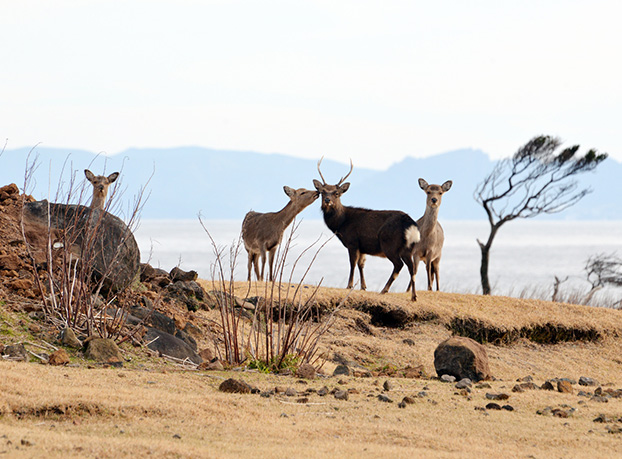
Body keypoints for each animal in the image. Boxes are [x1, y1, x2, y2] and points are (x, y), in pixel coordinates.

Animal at [314, 158, 422, 302]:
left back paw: (384, 290)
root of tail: (411, 226)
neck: (341, 224)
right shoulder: (363, 247)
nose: (327, 200)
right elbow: (361, 264)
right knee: (412, 268)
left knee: (399, 265)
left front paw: (349, 285)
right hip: (409, 247)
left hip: (389, 244)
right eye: (322, 192)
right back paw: (414, 296)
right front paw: (363, 286)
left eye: (336, 193)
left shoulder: (352, 242)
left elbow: (353, 263)